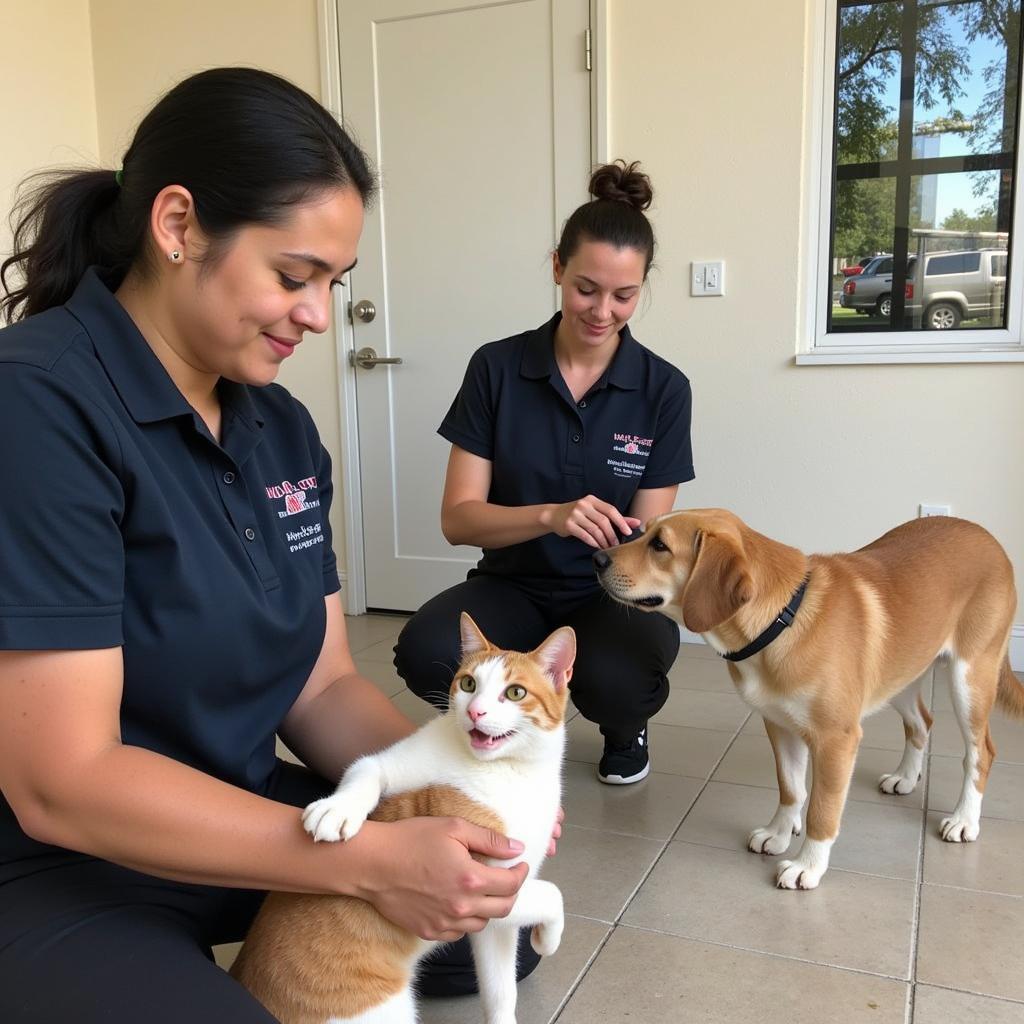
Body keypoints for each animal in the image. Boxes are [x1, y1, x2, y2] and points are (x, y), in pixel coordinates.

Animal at [229, 614, 577, 1024]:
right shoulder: (489, 886)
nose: (475, 712)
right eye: (469, 684)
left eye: (516, 693)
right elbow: (553, 894)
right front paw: (338, 809)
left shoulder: (497, 910)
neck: (507, 771)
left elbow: (501, 989)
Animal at [598, 509, 1019, 888]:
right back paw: (905, 776)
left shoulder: (836, 740)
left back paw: (965, 819)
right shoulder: (779, 726)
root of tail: (988, 538)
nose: (598, 558)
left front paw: (808, 865)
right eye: (641, 531)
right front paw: (780, 832)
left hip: (969, 680)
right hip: (898, 676)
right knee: (921, 722)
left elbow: (822, 809)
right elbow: (792, 789)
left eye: (659, 545)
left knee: (981, 752)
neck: (782, 621)